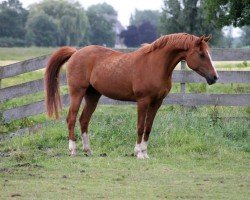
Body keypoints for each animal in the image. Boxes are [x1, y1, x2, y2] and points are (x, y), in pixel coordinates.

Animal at [45, 32, 219, 159]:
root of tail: (75, 52)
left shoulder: (157, 102)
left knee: (84, 120)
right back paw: (73, 150)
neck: (155, 64)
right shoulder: (143, 101)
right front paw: (138, 153)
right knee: (71, 119)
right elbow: (140, 126)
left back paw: (88, 150)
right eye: (201, 54)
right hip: (78, 92)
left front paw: (145, 152)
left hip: (93, 96)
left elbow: (148, 127)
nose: (214, 77)